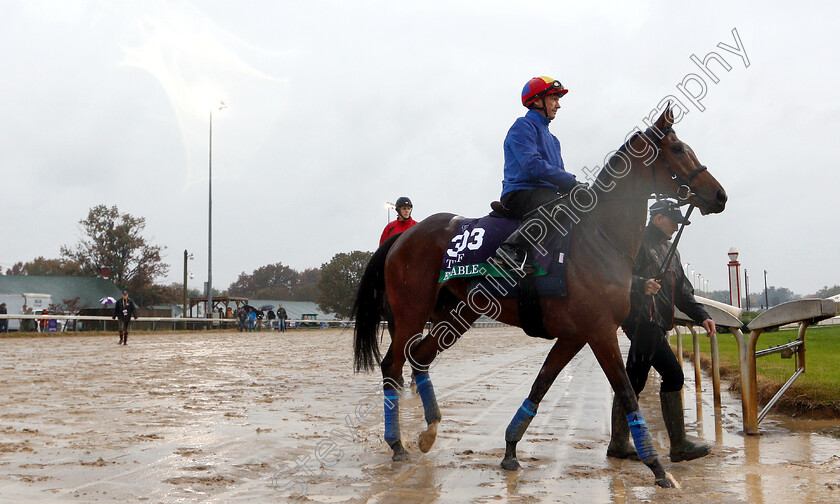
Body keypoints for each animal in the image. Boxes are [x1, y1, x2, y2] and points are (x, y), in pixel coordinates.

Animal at [352, 107, 724, 488]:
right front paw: (658, 468)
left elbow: (540, 386)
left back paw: (429, 432)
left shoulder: (575, 335)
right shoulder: (601, 332)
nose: (719, 195)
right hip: (411, 312)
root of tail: (403, 236)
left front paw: (510, 450)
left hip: (456, 313)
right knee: (392, 365)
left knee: (421, 357)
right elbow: (626, 393)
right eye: (677, 148)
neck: (601, 237)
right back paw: (396, 443)